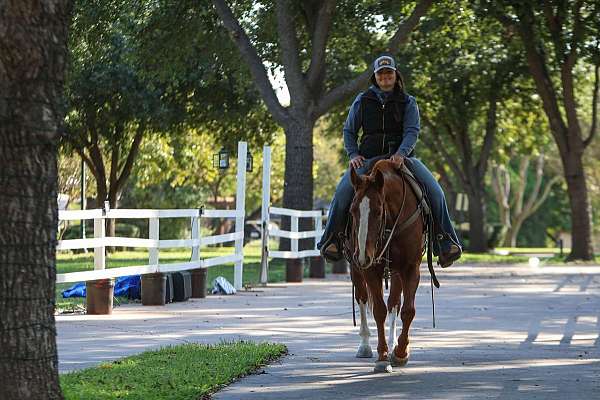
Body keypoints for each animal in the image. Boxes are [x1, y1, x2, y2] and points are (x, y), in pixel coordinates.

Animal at [344, 159, 424, 372]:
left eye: (379, 211)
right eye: (352, 211)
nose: (363, 255)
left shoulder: (410, 268)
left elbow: (407, 310)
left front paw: (400, 353)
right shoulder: (370, 269)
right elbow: (378, 310)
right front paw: (382, 357)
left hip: (395, 272)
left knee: (394, 304)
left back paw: (393, 342)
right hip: (356, 269)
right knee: (362, 299)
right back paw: (365, 346)